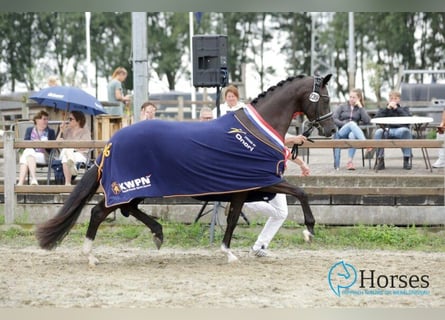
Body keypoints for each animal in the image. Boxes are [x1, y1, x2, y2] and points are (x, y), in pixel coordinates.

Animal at [35, 74, 332, 264]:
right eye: (326, 99)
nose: (330, 129)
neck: (254, 134)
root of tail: (110, 144)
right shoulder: (260, 181)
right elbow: (300, 193)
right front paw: (309, 230)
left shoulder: (243, 189)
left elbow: (233, 219)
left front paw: (229, 251)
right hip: (128, 186)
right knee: (100, 211)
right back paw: (90, 255)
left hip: (139, 188)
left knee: (128, 209)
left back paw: (157, 233)